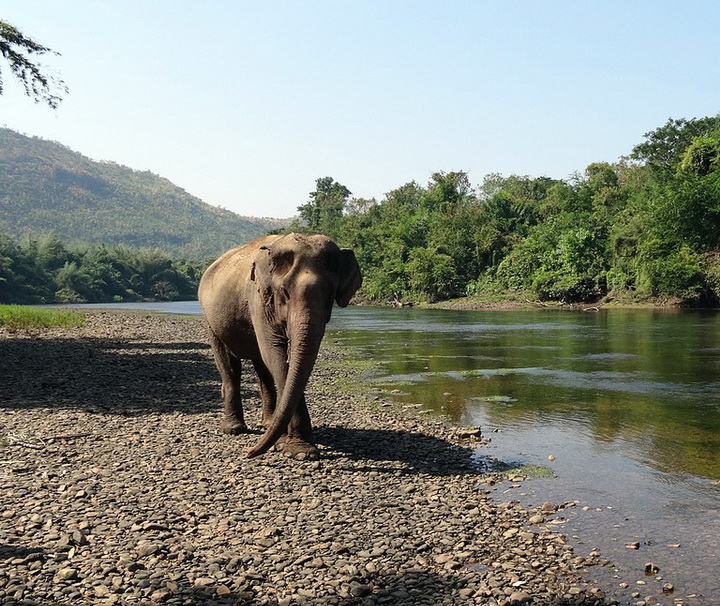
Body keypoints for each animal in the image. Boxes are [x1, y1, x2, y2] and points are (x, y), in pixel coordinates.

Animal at [198, 234, 362, 460]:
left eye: (329, 293)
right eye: (285, 293)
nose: (249, 452)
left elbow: (282, 359)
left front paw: (294, 447)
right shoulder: (258, 298)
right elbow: (274, 352)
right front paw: (299, 451)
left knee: (261, 367)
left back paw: (268, 424)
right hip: (210, 319)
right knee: (229, 365)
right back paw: (234, 429)